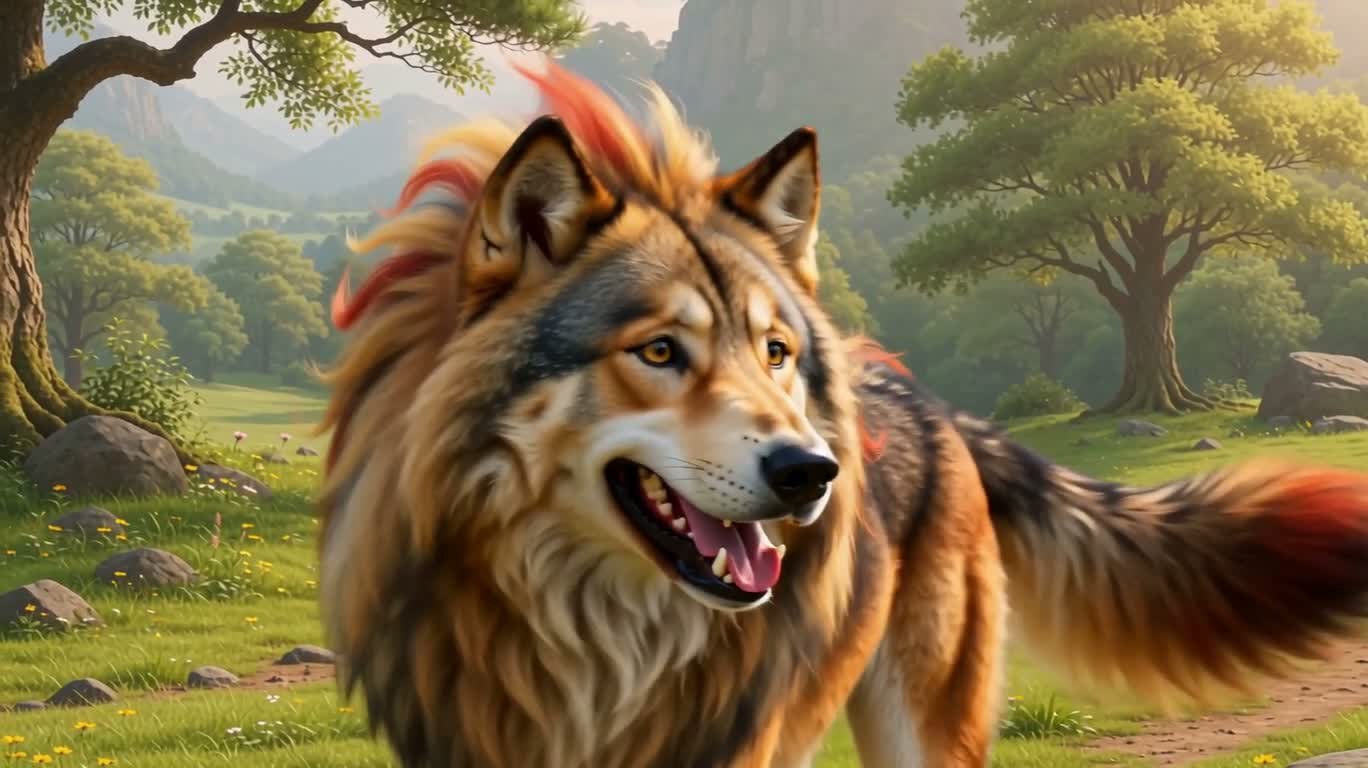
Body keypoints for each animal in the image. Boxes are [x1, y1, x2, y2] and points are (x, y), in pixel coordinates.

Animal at [316, 58, 1368, 768]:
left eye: (775, 353)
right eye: (659, 352)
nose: (811, 472)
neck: (593, 653)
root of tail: (932, 404)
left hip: (919, 725)